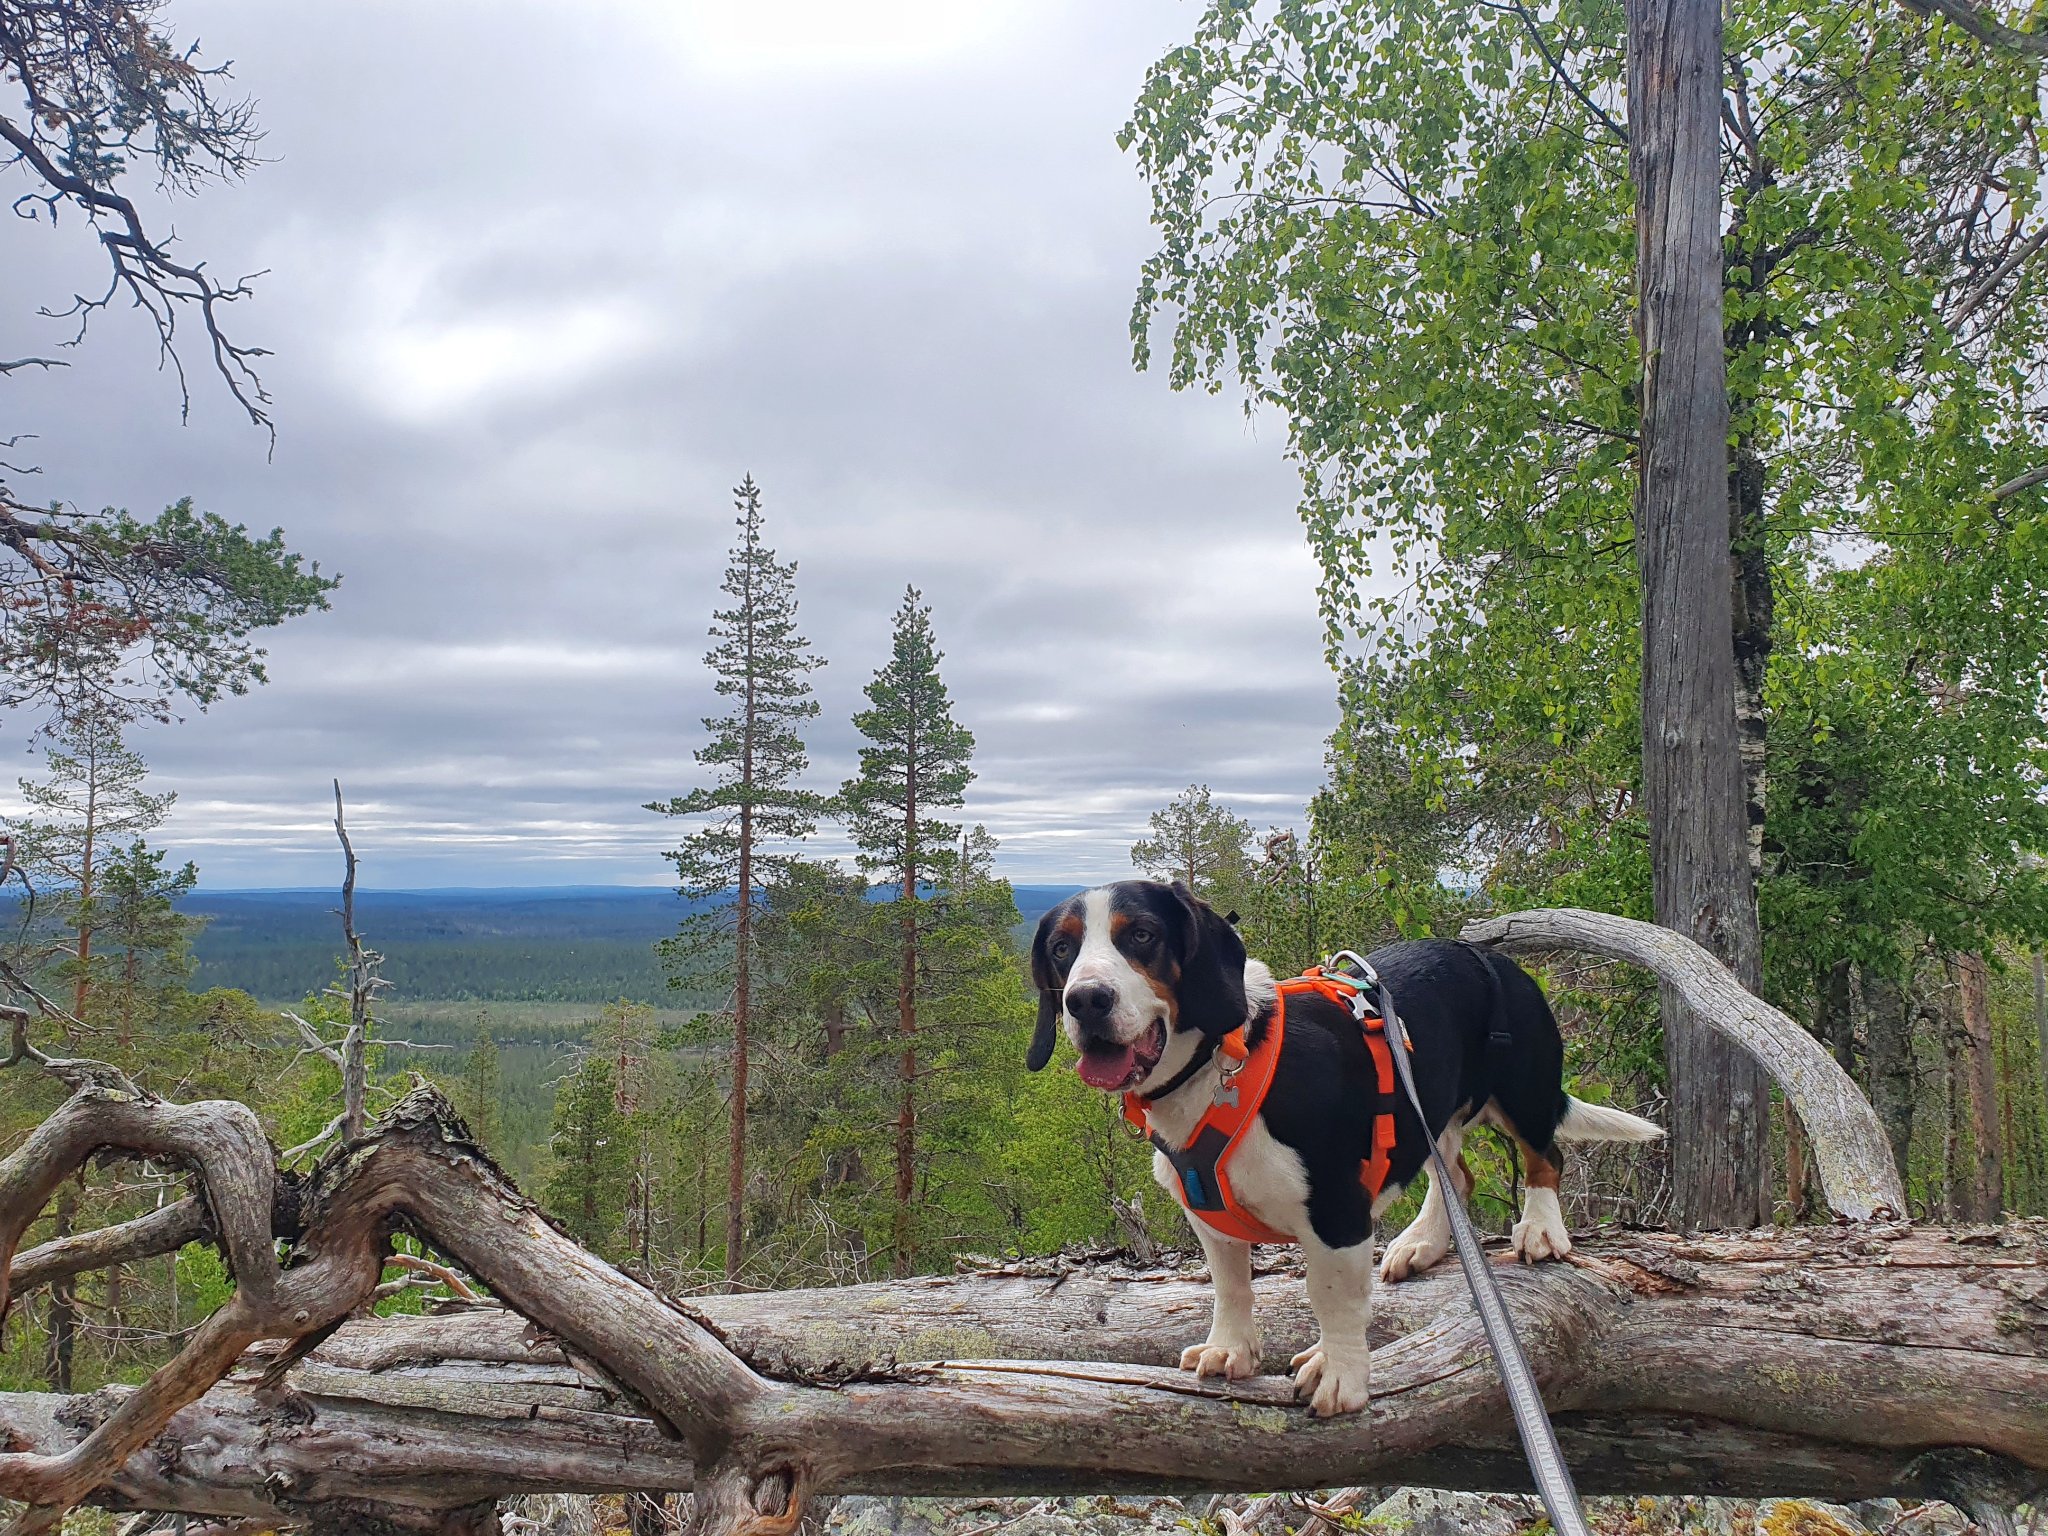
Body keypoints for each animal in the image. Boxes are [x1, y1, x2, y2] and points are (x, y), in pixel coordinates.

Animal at [1024, 884, 1662, 1425]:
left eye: (1142, 935)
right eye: (1062, 948)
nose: (1086, 1001)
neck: (1224, 1065)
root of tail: (1496, 961)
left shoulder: (1336, 1216)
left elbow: (1333, 1300)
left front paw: (1343, 1377)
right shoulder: (1210, 1218)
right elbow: (1231, 1286)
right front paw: (1230, 1350)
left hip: (1523, 1089)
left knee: (1545, 1155)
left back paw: (1540, 1229)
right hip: (1426, 1111)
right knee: (1456, 1173)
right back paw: (1423, 1242)